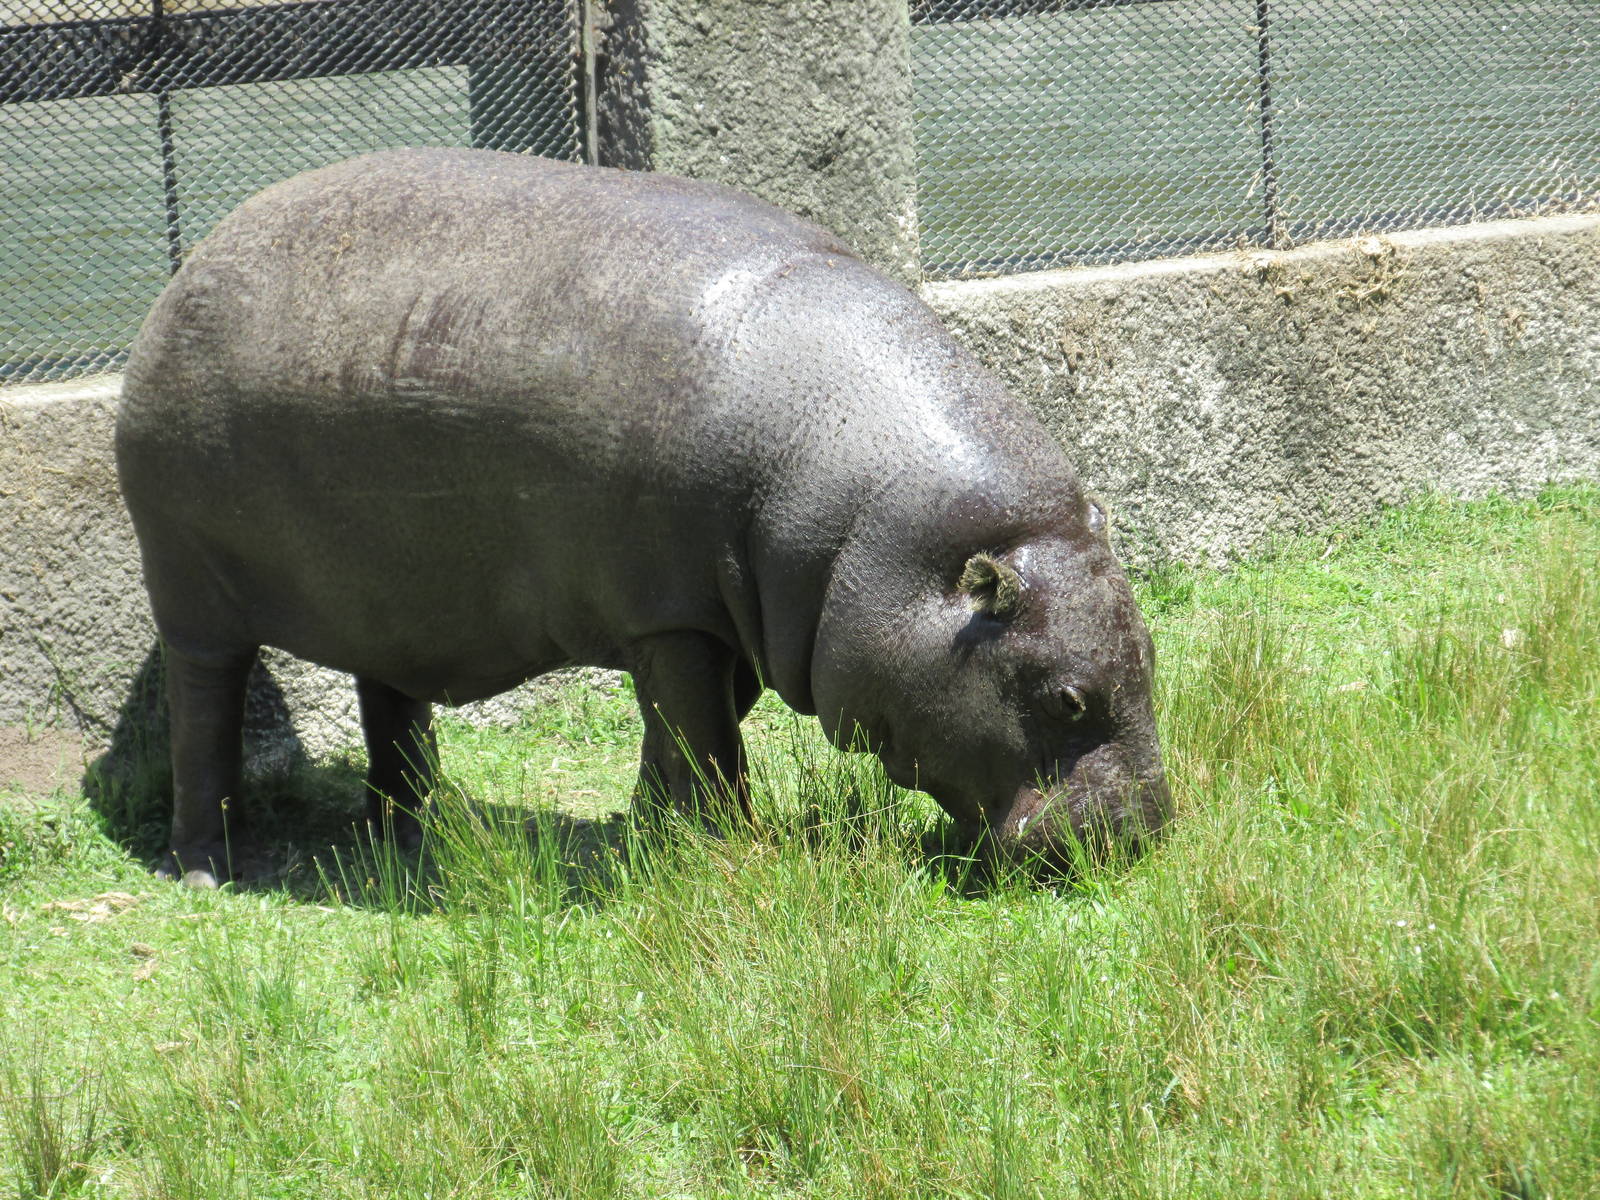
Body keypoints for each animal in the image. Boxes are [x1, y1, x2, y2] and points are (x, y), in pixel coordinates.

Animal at [116, 148, 1168, 887]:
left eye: (1151, 656)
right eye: (1066, 698)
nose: (1146, 836)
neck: (863, 528)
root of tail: (183, 272)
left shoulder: (716, 619)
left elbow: (684, 735)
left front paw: (655, 833)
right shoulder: (672, 616)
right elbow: (708, 741)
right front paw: (729, 848)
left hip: (392, 594)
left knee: (392, 707)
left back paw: (411, 837)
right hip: (191, 590)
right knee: (203, 711)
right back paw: (209, 868)